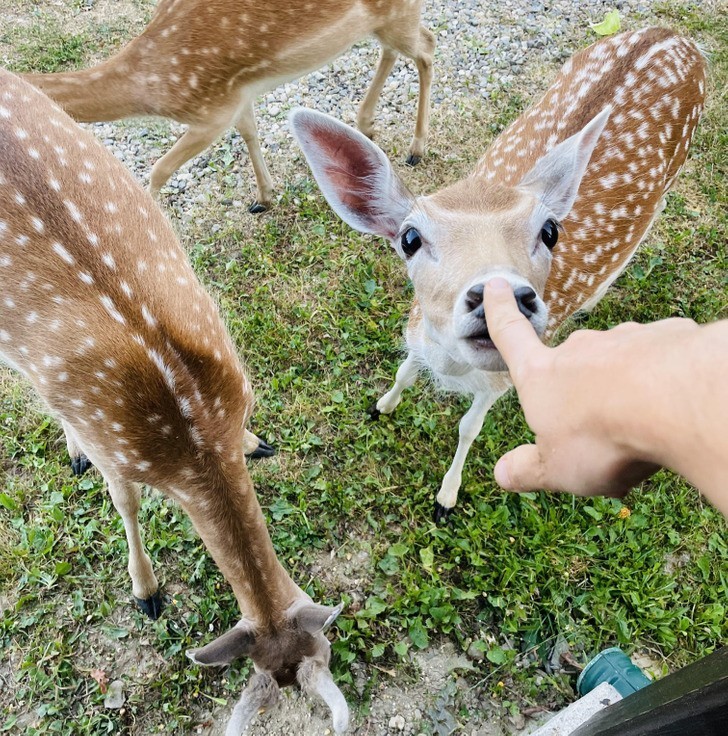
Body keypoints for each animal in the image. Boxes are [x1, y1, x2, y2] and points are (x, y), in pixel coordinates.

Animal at [0, 67, 350, 732]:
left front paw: (256, 442)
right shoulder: (114, 445)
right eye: (270, 679)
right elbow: (126, 504)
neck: (193, 428)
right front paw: (147, 592)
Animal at [19, 0, 436, 214]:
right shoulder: (236, 100)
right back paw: (365, 124)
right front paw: (264, 198)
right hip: (382, 24)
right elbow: (250, 132)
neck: (148, 84)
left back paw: (416, 148)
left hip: (399, 14)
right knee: (396, 49)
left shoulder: (211, 114)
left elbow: (157, 170)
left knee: (427, 47)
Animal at [288, 25, 704, 520]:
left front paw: (446, 498)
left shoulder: (502, 380)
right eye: (409, 238)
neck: (452, 369)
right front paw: (381, 406)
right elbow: (404, 371)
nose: (501, 295)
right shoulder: (417, 332)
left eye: (550, 231)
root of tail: (675, 35)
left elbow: (469, 427)